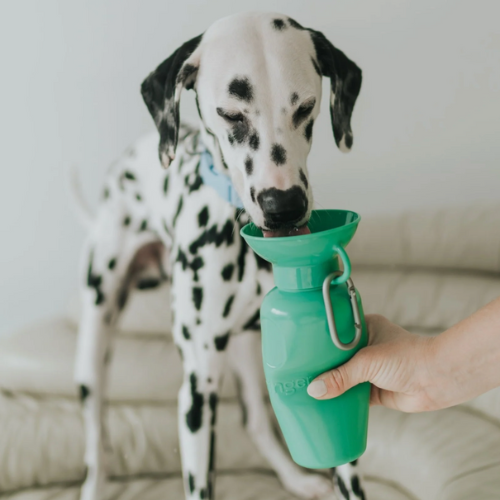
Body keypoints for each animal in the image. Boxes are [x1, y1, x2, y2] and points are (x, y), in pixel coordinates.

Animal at [73, 10, 364, 500]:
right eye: (231, 114)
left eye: (305, 107)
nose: (283, 206)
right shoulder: (198, 388)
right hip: (95, 338)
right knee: (95, 438)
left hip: (246, 350)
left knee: (256, 422)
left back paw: (298, 480)